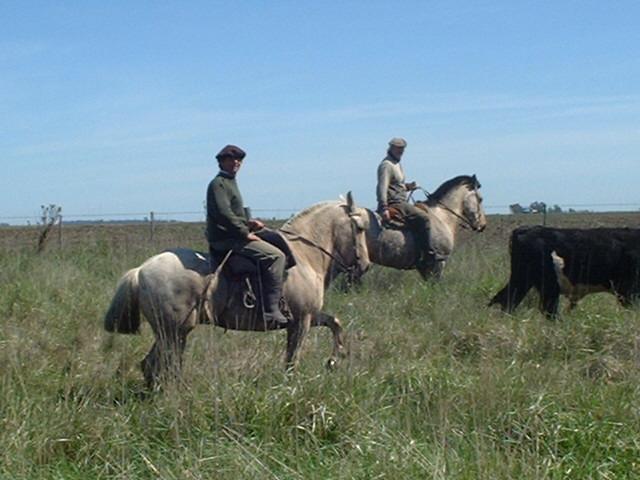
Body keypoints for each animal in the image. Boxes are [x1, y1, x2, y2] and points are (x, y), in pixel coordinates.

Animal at [104, 193, 370, 388]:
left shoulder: (308, 317)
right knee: (160, 364)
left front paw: (334, 359)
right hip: (173, 332)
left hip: (171, 333)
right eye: (359, 228)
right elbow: (292, 358)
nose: (365, 266)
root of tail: (140, 270)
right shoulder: (301, 321)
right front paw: (292, 385)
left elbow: (335, 323)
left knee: (153, 364)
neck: (304, 257)